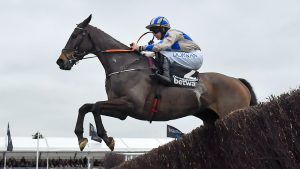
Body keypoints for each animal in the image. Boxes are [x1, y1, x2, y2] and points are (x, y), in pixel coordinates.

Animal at [56, 15, 258, 151]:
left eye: (75, 35)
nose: (60, 61)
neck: (124, 64)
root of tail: (237, 81)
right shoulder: (121, 111)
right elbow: (86, 107)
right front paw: (81, 138)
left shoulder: (130, 104)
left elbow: (96, 106)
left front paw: (107, 138)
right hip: (211, 119)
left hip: (232, 114)